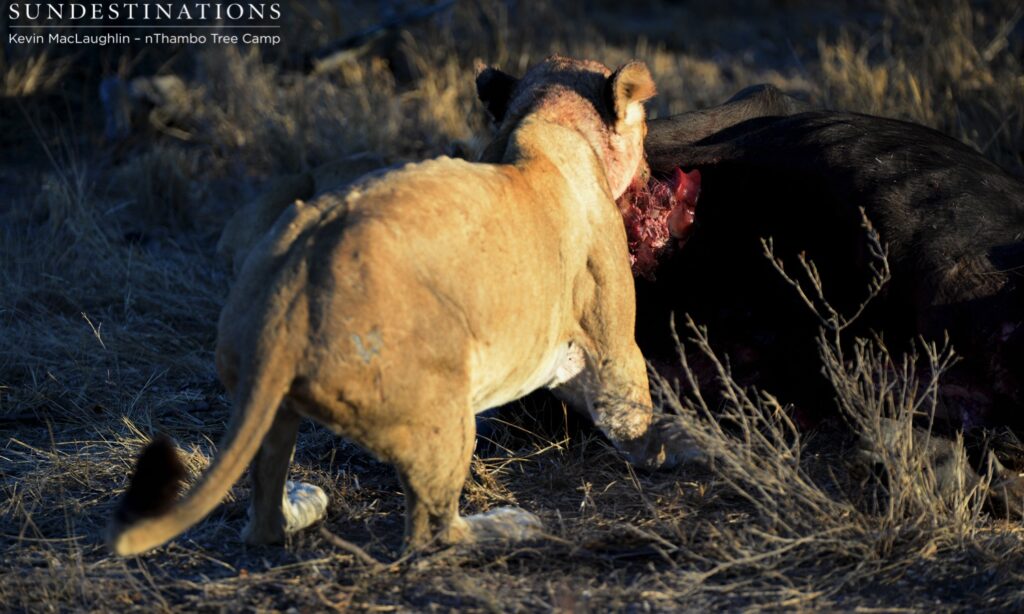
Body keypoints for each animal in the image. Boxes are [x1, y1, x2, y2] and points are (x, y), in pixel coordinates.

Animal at [107, 56, 700, 557]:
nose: (652, 174)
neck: (543, 116)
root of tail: (293, 290)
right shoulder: (611, 349)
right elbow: (632, 416)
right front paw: (681, 445)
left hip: (272, 399)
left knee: (263, 521)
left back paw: (303, 502)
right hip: (442, 410)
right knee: (432, 534)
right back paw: (509, 525)